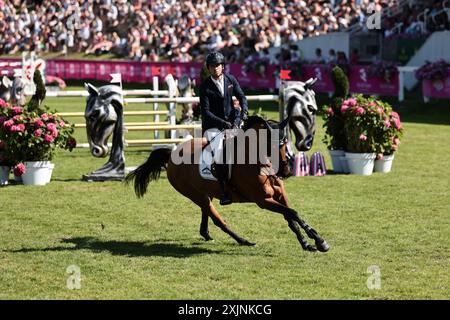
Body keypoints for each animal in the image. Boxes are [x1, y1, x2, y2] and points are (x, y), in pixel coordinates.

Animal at [125, 80, 328, 252]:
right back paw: (244, 241)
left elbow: (292, 217)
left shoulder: (280, 194)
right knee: (217, 219)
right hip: (194, 194)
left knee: (206, 213)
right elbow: (292, 213)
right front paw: (319, 241)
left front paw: (308, 243)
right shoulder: (263, 201)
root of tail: (172, 154)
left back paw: (207, 234)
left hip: (205, 193)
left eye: (285, 143)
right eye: (270, 145)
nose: (285, 172)